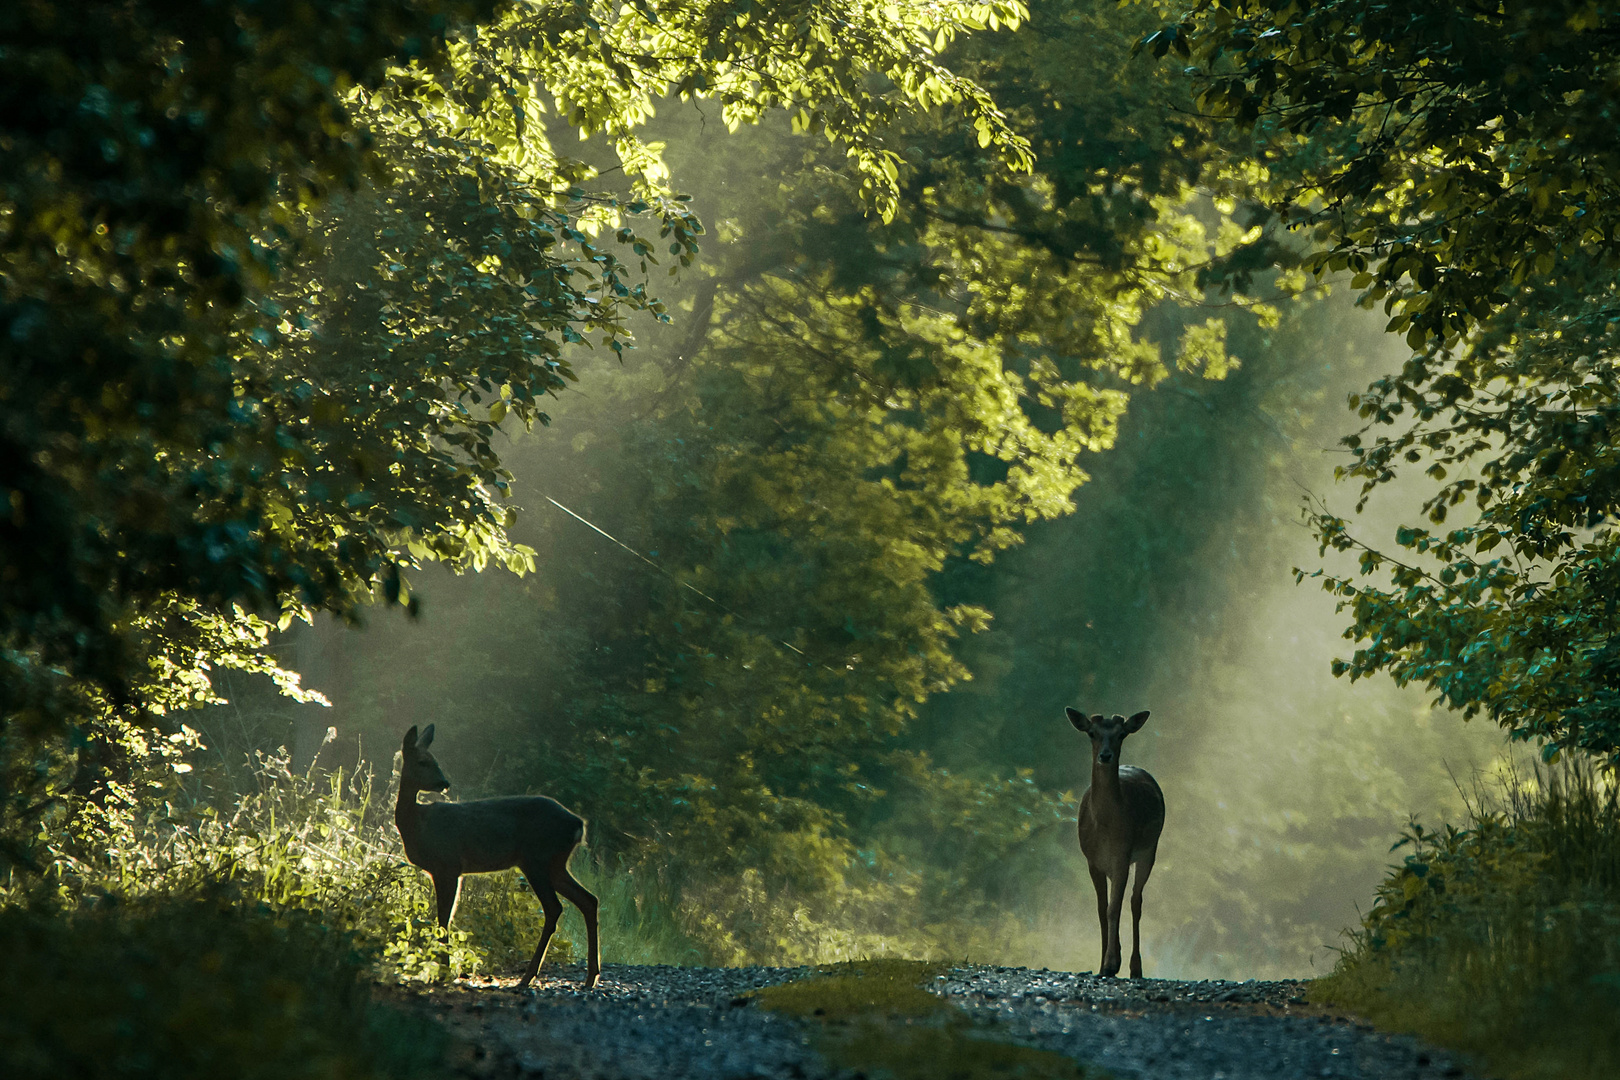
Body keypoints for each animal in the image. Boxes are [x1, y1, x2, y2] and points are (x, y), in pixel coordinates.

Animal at [392, 725, 602, 990]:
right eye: (423, 761)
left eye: (434, 760)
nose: (444, 782)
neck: (416, 824)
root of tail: (578, 824)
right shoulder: (447, 870)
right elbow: (442, 918)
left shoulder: (448, 864)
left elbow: (444, 919)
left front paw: (443, 972)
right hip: (554, 864)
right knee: (589, 900)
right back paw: (591, 977)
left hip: (536, 859)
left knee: (555, 908)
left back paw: (527, 977)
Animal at [1062, 709, 1166, 977]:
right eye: (1091, 733)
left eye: (1122, 734)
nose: (1105, 755)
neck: (1105, 827)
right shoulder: (1092, 860)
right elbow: (1102, 909)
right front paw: (1103, 964)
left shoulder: (1122, 855)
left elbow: (1114, 908)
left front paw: (1111, 963)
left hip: (1149, 850)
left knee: (1135, 902)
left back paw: (1135, 967)